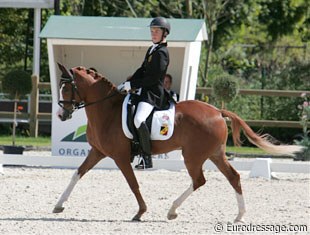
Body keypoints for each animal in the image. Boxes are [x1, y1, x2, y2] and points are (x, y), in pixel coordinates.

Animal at [53, 63, 302, 222]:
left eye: (67, 88)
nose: (61, 115)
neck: (107, 111)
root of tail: (217, 111)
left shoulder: (121, 157)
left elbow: (133, 184)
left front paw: (141, 212)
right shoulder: (97, 152)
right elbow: (77, 174)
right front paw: (58, 205)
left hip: (193, 155)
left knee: (199, 180)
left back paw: (172, 210)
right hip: (215, 154)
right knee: (233, 177)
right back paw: (238, 216)